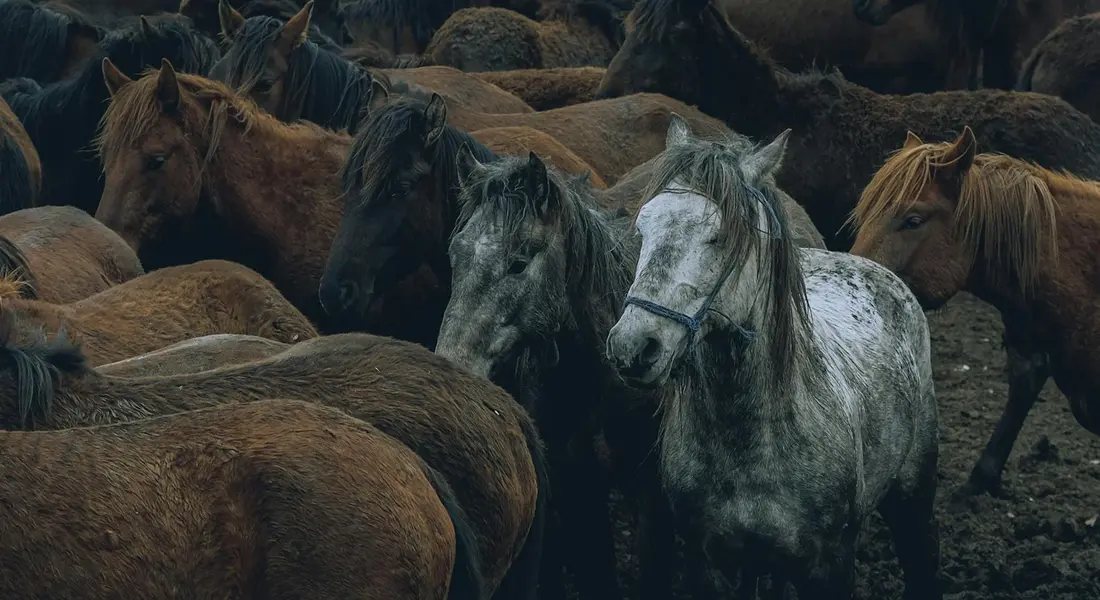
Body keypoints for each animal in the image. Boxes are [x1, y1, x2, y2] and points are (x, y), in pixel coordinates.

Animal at [434, 115, 823, 600]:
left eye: (519, 262)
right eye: (455, 254)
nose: (452, 365)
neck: (596, 378)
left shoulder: (650, 496)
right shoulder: (574, 481)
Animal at [604, 117, 940, 600]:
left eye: (721, 235)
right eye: (642, 229)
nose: (632, 347)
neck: (751, 438)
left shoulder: (829, 567)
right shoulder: (713, 565)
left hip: (913, 494)